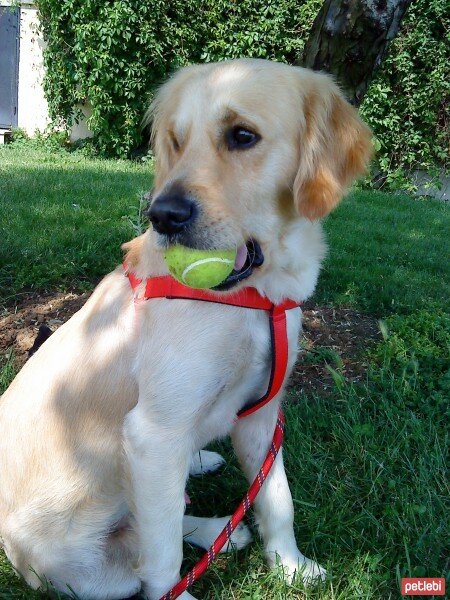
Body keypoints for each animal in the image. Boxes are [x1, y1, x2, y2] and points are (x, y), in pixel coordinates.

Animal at [0, 57, 372, 600]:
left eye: (243, 135)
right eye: (175, 141)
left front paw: (290, 566)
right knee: (145, 542)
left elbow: (276, 499)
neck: (253, 298)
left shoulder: (262, 415)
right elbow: (162, 558)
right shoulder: (153, 435)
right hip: (84, 573)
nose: (163, 216)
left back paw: (220, 521)